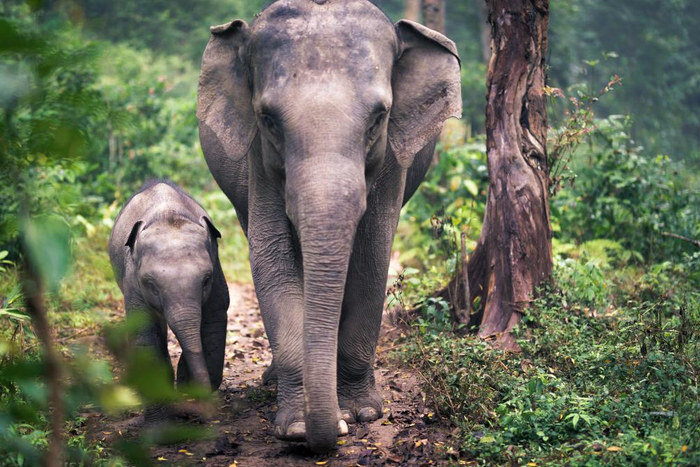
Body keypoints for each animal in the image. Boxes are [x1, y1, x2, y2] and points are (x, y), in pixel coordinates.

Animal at [108, 180, 230, 423]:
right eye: (151, 284)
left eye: (206, 280)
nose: (208, 415)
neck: (169, 216)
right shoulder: (133, 282)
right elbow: (145, 334)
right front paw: (158, 423)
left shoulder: (217, 273)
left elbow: (214, 321)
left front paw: (185, 384)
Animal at [197, 0, 461, 452]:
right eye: (268, 119)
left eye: (379, 118)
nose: (333, 429)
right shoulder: (258, 158)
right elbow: (271, 256)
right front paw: (298, 428)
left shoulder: (392, 160)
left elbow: (372, 256)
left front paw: (362, 413)